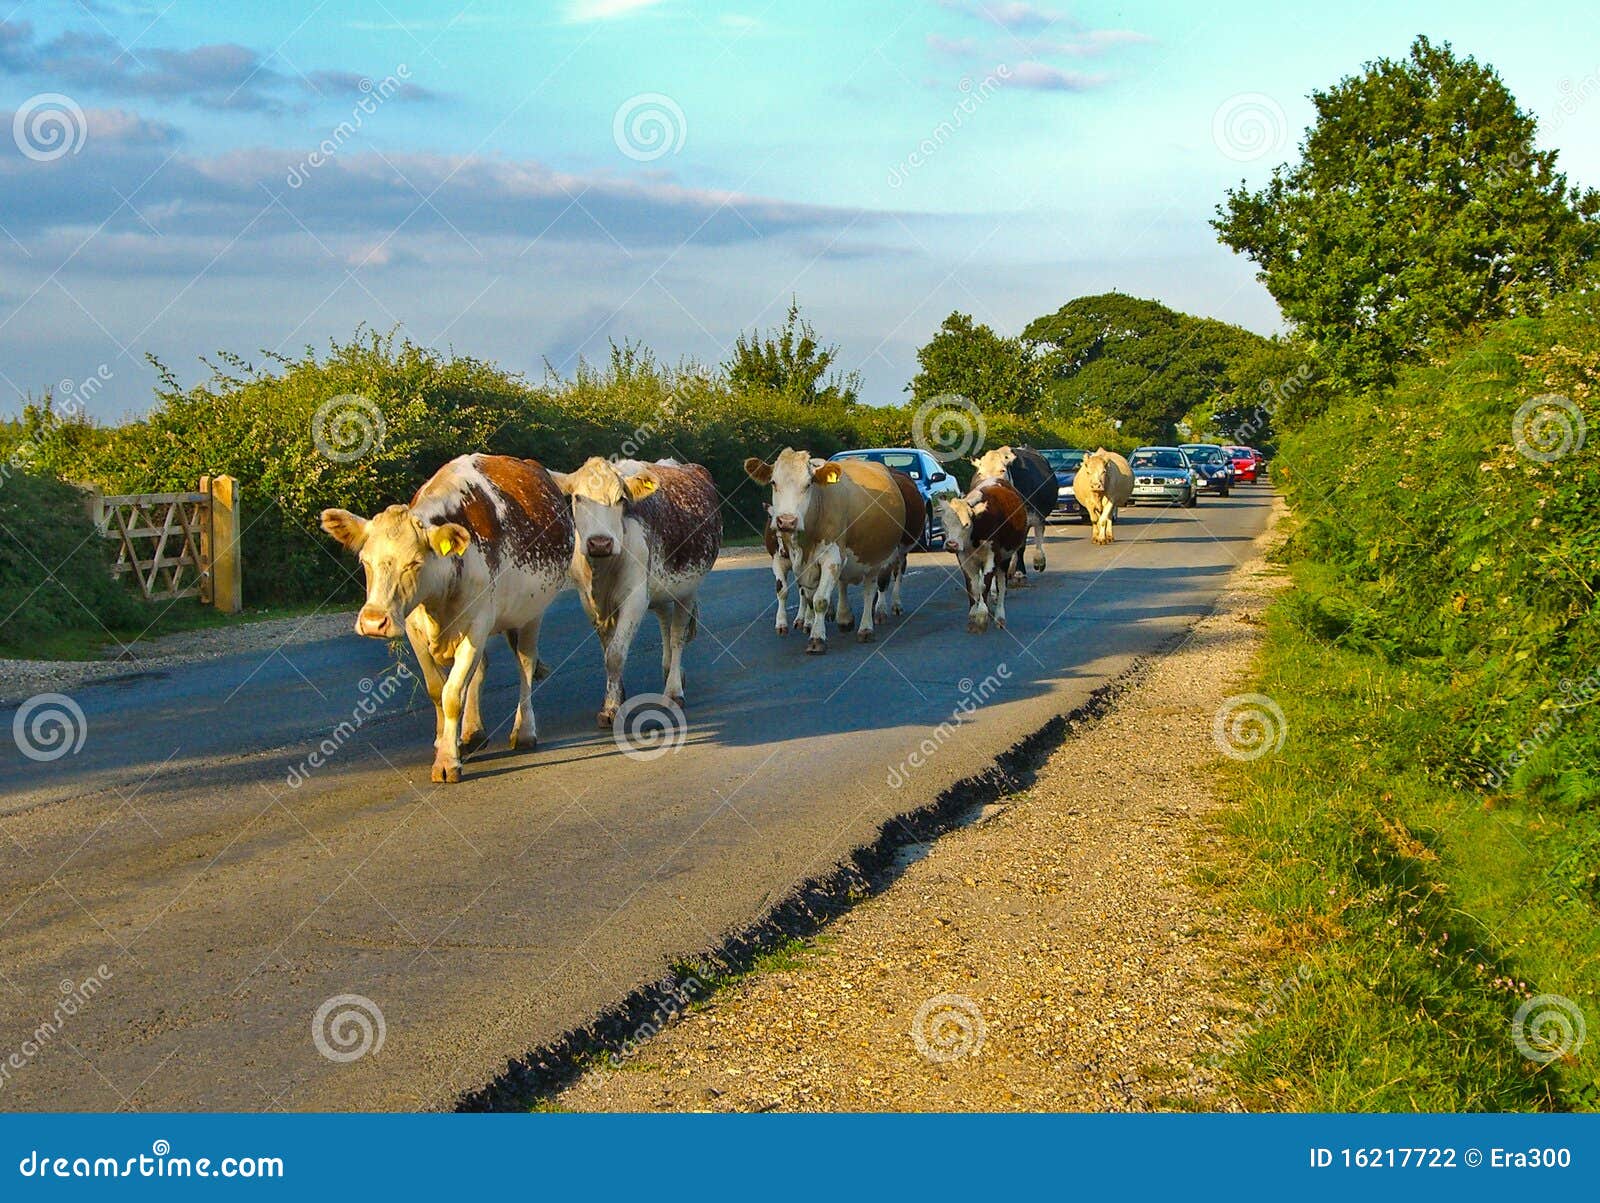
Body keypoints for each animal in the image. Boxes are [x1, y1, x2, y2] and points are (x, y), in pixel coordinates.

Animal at [320, 454, 576, 783]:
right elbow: (436, 690)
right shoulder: (415, 627)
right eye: (365, 561)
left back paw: (524, 732)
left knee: (525, 665)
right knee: (481, 669)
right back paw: (471, 734)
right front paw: (445, 741)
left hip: (531, 612)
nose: (374, 622)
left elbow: (452, 694)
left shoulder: (477, 624)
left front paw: (447, 760)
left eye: (414, 563)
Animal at [550, 457, 726, 723]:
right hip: (660, 589)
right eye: (578, 498)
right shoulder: (588, 601)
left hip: (688, 589)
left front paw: (612, 709)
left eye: (621, 499)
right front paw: (615, 697)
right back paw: (668, 669)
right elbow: (608, 650)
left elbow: (615, 654)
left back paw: (674, 689)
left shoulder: (635, 598)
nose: (600, 542)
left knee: (677, 635)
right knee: (665, 622)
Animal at [742, 451, 908, 659]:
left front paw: (816, 639)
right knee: (843, 584)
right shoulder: (790, 561)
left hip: (874, 558)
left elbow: (820, 600)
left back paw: (866, 629)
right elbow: (795, 594)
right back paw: (844, 618)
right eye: (773, 482)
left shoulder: (832, 558)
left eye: (808, 484)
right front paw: (796, 624)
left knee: (870, 591)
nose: (787, 521)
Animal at [934, 479, 1030, 633]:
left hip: (1004, 559)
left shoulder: (991, 558)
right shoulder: (964, 559)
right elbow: (972, 586)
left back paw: (999, 617)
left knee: (1001, 585)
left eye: (966, 524)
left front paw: (981, 616)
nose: (951, 544)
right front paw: (973, 616)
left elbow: (984, 585)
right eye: (944, 523)